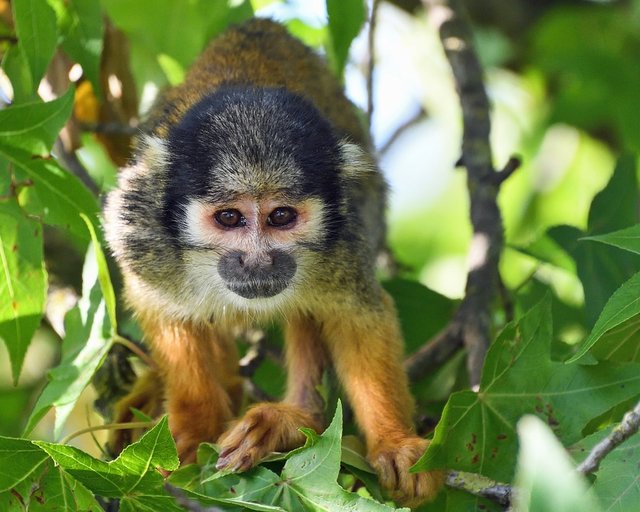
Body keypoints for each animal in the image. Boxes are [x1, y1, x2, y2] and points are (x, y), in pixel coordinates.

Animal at [103, 19, 443, 507]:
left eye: (281, 217)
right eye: (229, 218)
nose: (258, 262)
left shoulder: (345, 239)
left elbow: (357, 315)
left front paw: (395, 442)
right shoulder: (141, 232)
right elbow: (162, 308)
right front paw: (190, 430)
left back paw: (295, 422)